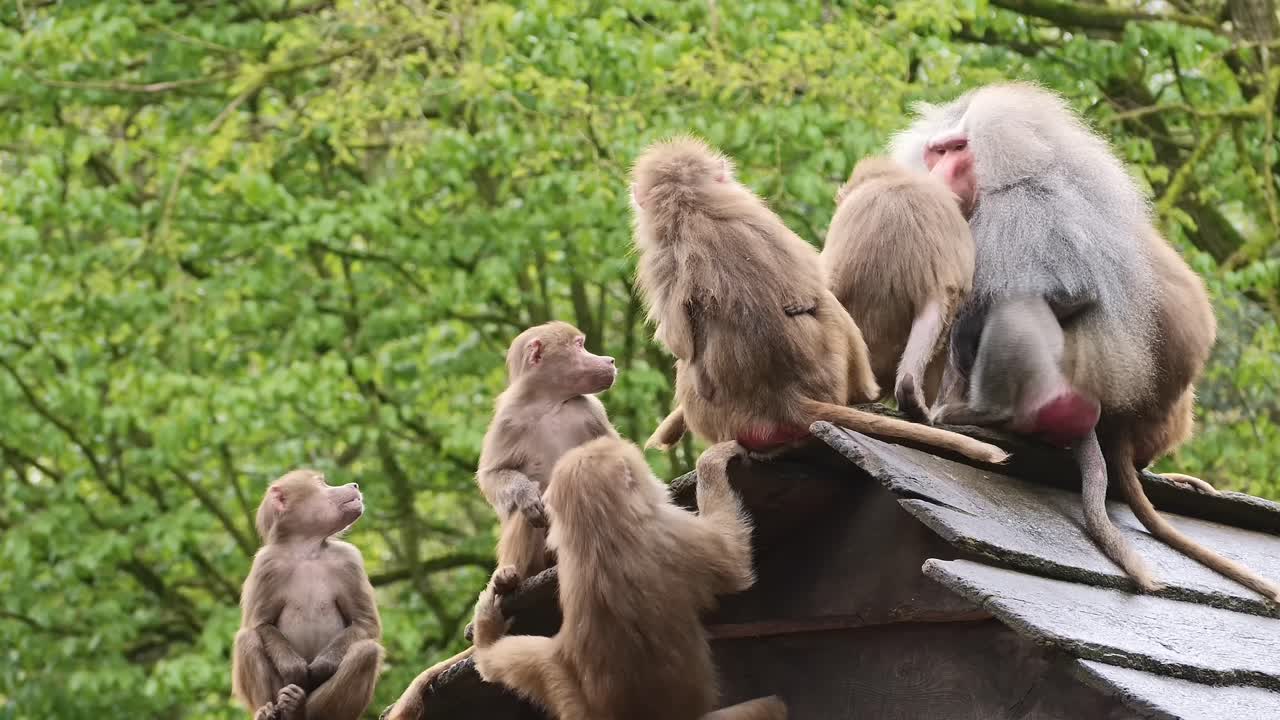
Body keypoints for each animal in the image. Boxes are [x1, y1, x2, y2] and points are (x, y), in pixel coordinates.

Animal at [232, 469, 384, 720]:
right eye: (321, 484)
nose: (353, 485)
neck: (306, 549)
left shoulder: (348, 559)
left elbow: (365, 623)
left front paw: (319, 668)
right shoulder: (265, 564)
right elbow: (260, 624)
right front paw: (294, 669)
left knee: (366, 652)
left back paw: (300, 707)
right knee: (247, 638)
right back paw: (268, 710)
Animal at [470, 436, 788, 720]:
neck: (598, 532)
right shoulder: (668, 528)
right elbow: (734, 563)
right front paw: (711, 463)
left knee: (517, 660)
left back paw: (486, 639)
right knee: (773, 707)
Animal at [476, 321, 619, 584]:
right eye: (579, 346)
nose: (610, 360)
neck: (549, 402)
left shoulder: (593, 410)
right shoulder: (507, 419)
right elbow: (492, 475)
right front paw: (526, 494)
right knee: (524, 511)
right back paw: (508, 575)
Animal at [891, 81, 1278, 601]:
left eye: (958, 149)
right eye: (936, 151)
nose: (936, 172)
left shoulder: (1027, 205)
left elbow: (1068, 292)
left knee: (1014, 309)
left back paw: (982, 414)